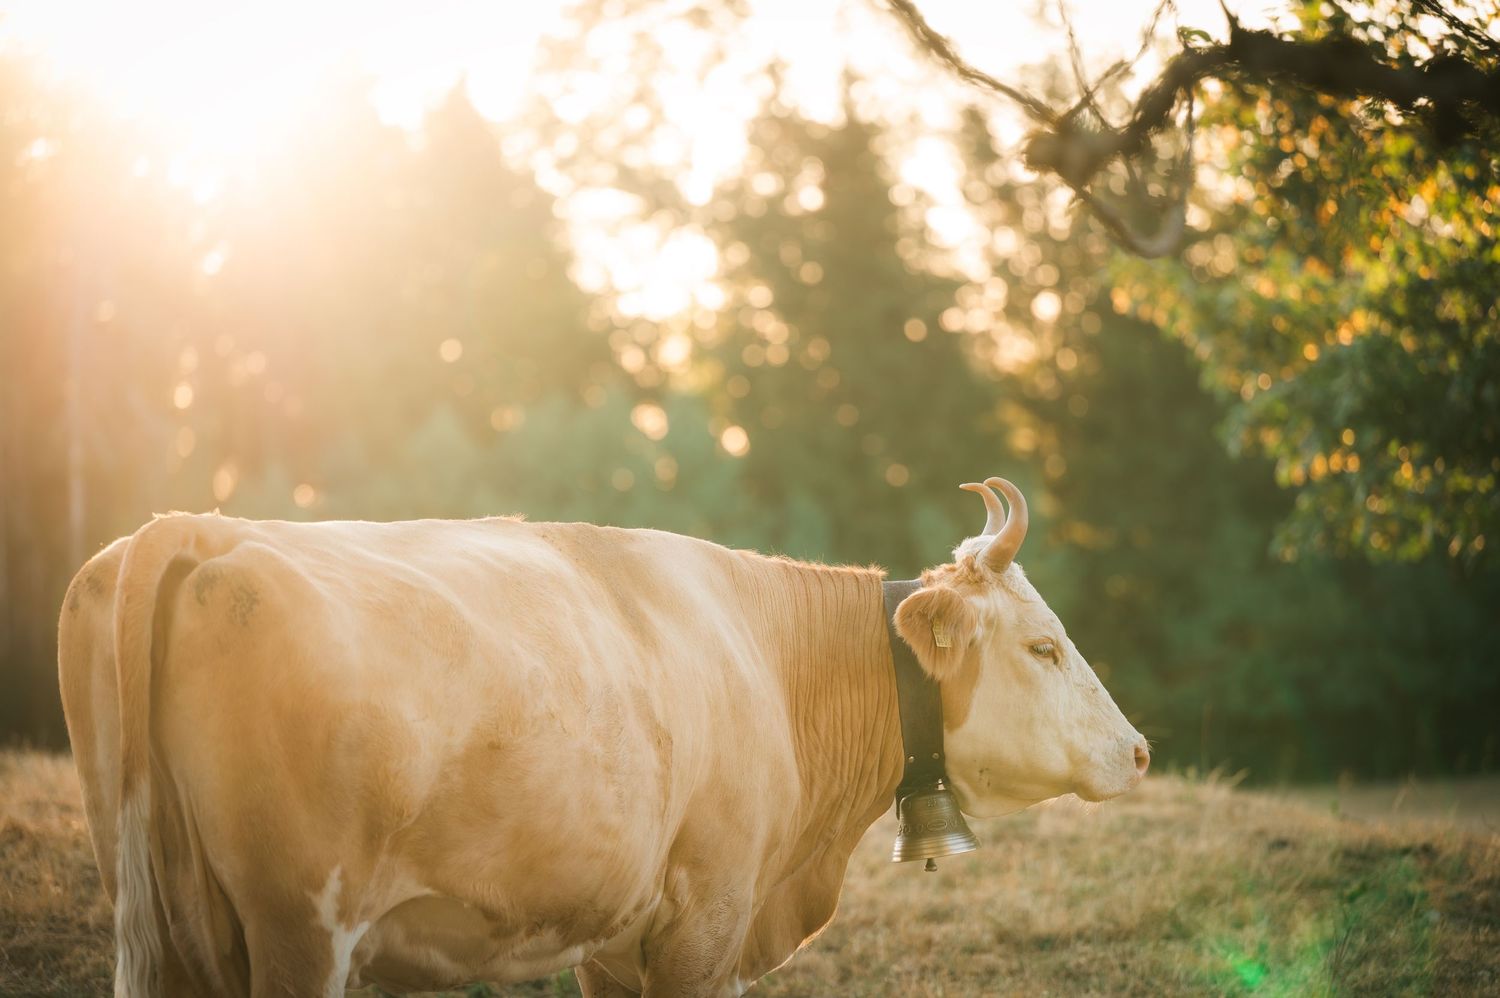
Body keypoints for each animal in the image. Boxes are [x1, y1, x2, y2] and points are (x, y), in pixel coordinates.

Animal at [58, 476, 1148, 998]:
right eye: (1046, 646)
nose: (1138, 750)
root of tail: (197, 526)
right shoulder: (707, 924)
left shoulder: (614, 945)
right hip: (299, 929)